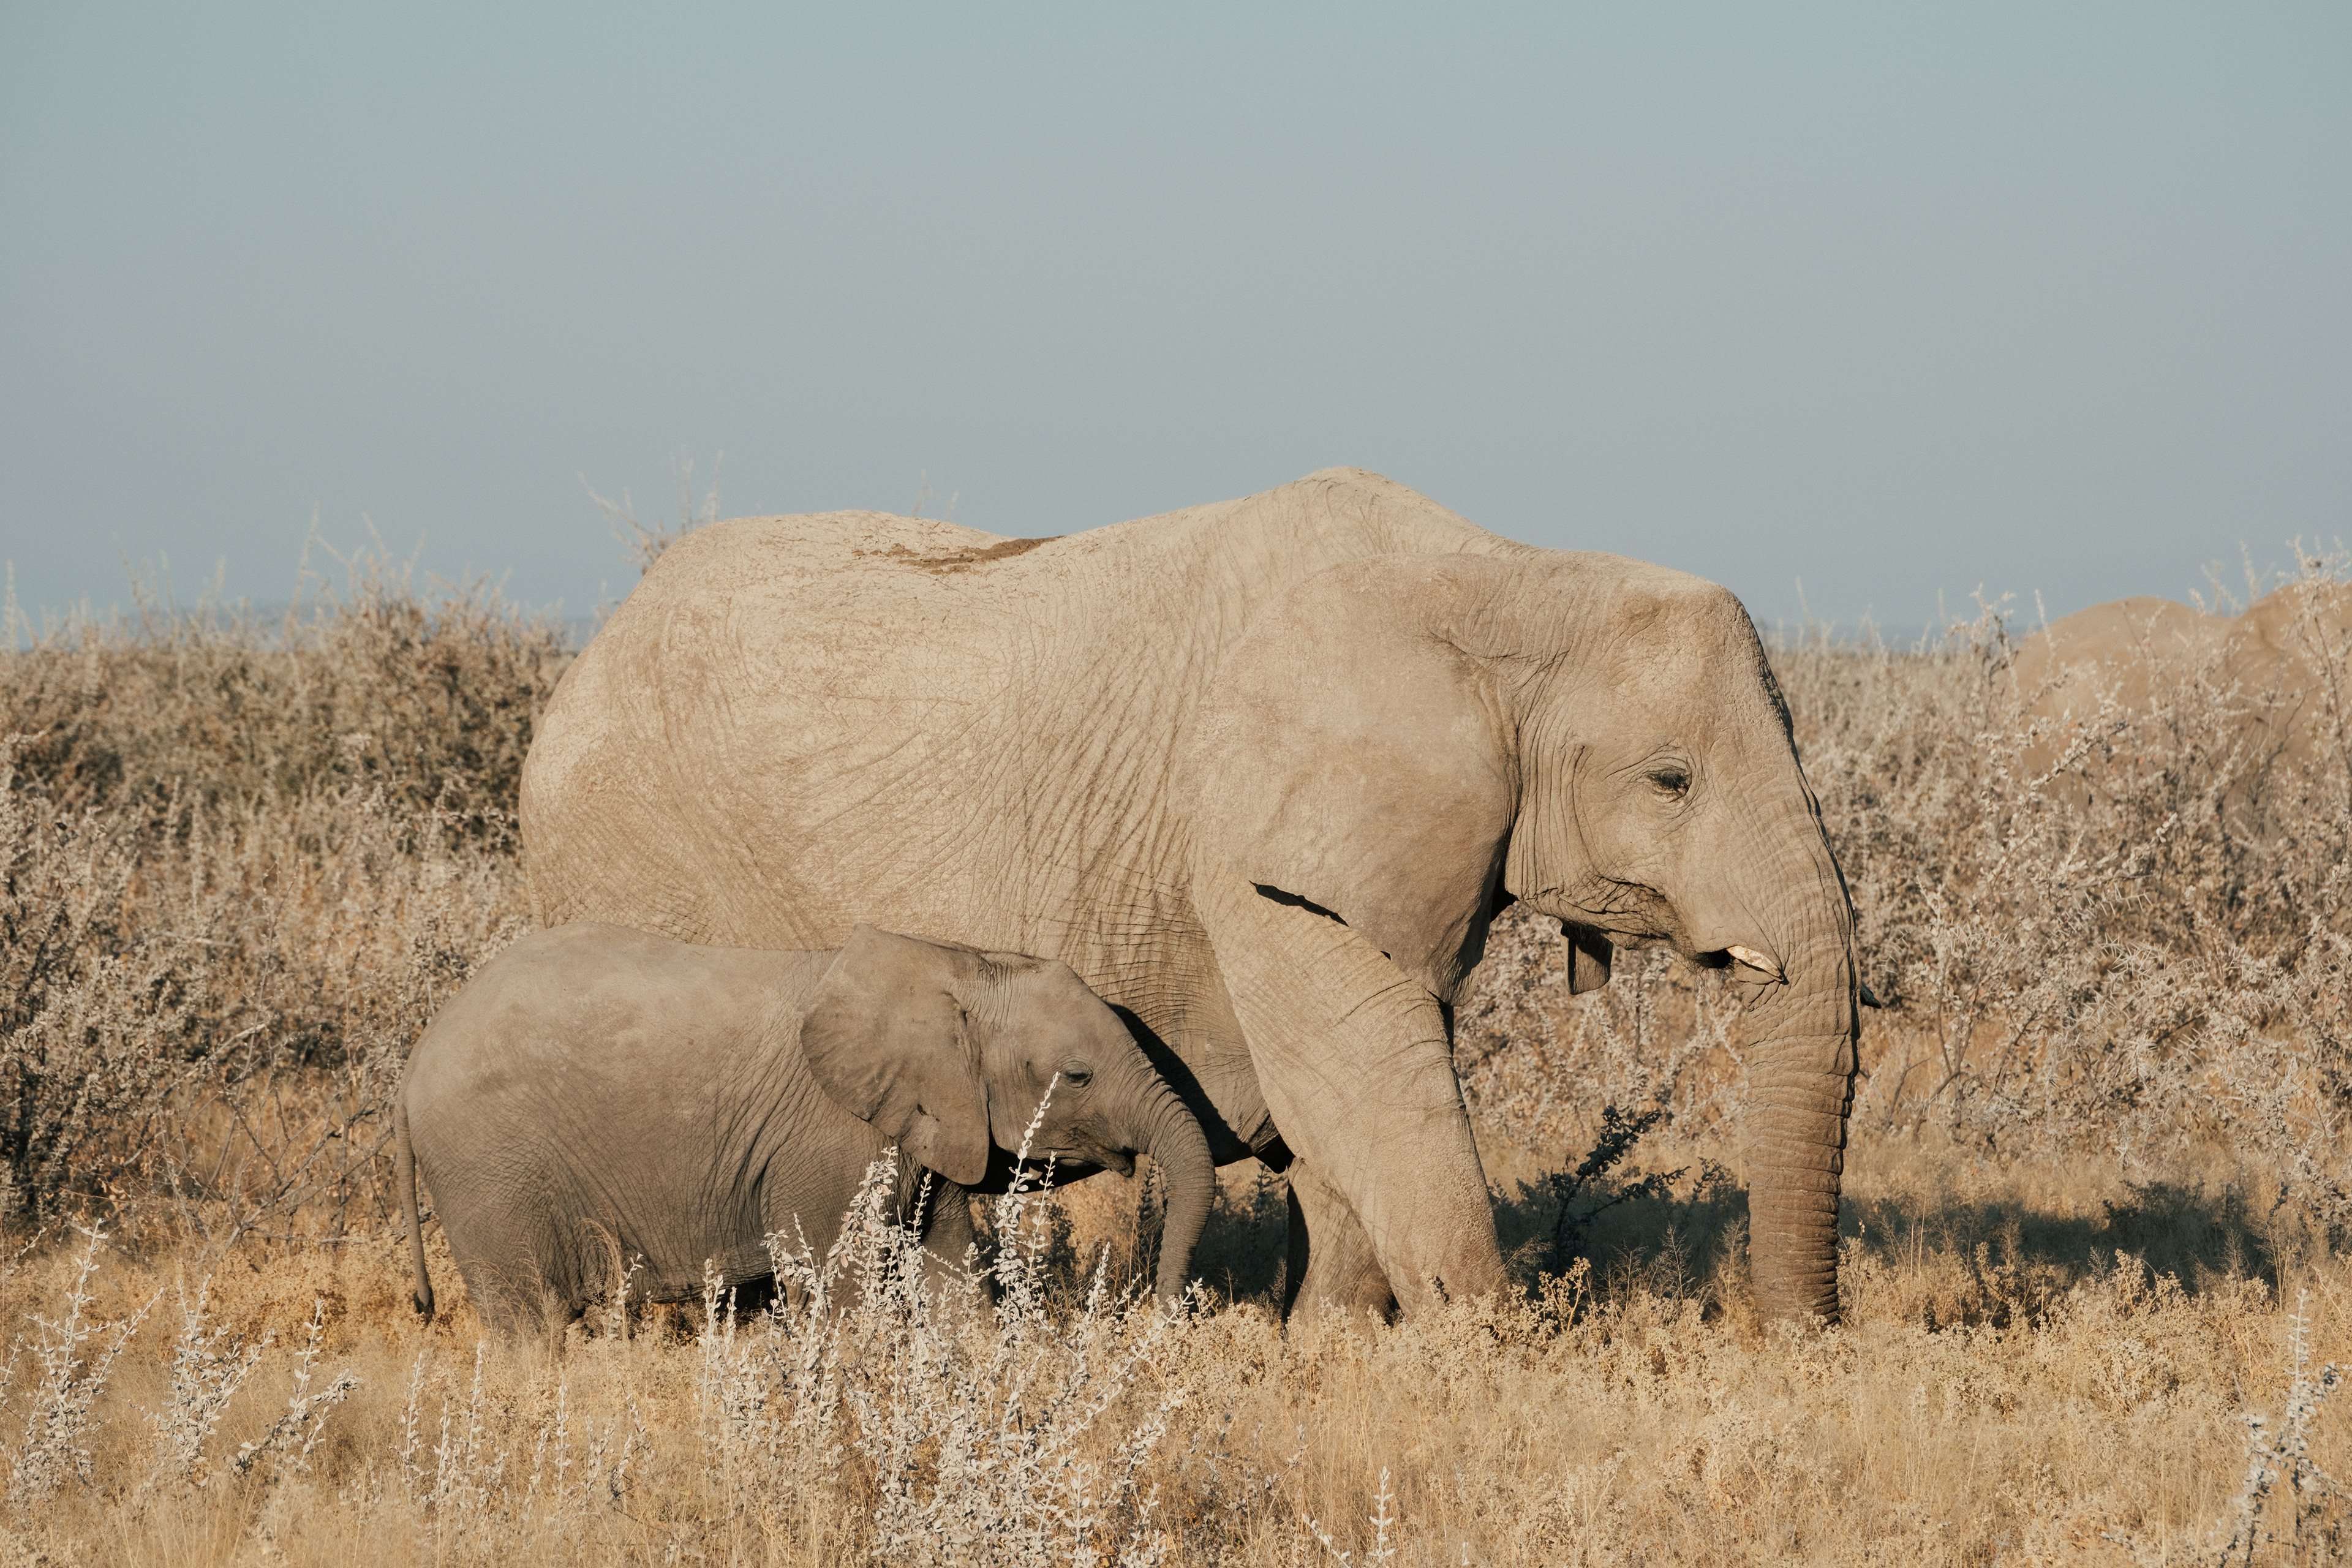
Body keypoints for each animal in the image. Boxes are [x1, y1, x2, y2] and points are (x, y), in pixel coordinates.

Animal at [395, 921, 1214, 1338]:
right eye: (1077, 1075)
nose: (1161, 1322)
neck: (958, 963)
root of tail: (412, 1062)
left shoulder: (926, 1121)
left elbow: (950, 1272)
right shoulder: (828, 1140)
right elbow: (841, 1289)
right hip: (487, 1167)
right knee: (530, 1324)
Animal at [520, 467, 1863, 1327]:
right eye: (1671, 779)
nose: (1797, 1338)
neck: (1507, 580)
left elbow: (1343, 1095)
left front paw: (1322, 1345)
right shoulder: (1248, 839)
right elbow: (1360, 1078)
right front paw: (1486, 1359)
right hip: (628, 859)